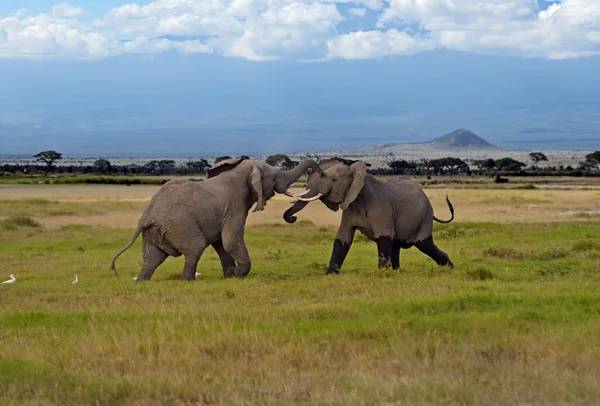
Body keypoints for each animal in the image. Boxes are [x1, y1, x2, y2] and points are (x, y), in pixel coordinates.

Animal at [109, 157, 322, 280]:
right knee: (195, 248)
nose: (320, 172)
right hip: (180, 225)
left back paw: (143, 280)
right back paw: (188, 280)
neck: (240, 173)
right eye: (275, 178)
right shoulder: (236, 207)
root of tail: (146, 216)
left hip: (154, 231)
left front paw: (229, 274)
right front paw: (236, 274)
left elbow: (221, 243)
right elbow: (230, 241)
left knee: (152, 258)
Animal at [282, 158, 454, 272]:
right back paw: (396, 272)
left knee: (424, 244)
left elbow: (383, 237)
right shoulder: (350, 206)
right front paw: (330, 275)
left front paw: (383, 274)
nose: (292, 218)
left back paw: (450, 268)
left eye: (334, 179)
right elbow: (342, 239)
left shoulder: (380, 207)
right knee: (397, 245)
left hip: (425, 215)